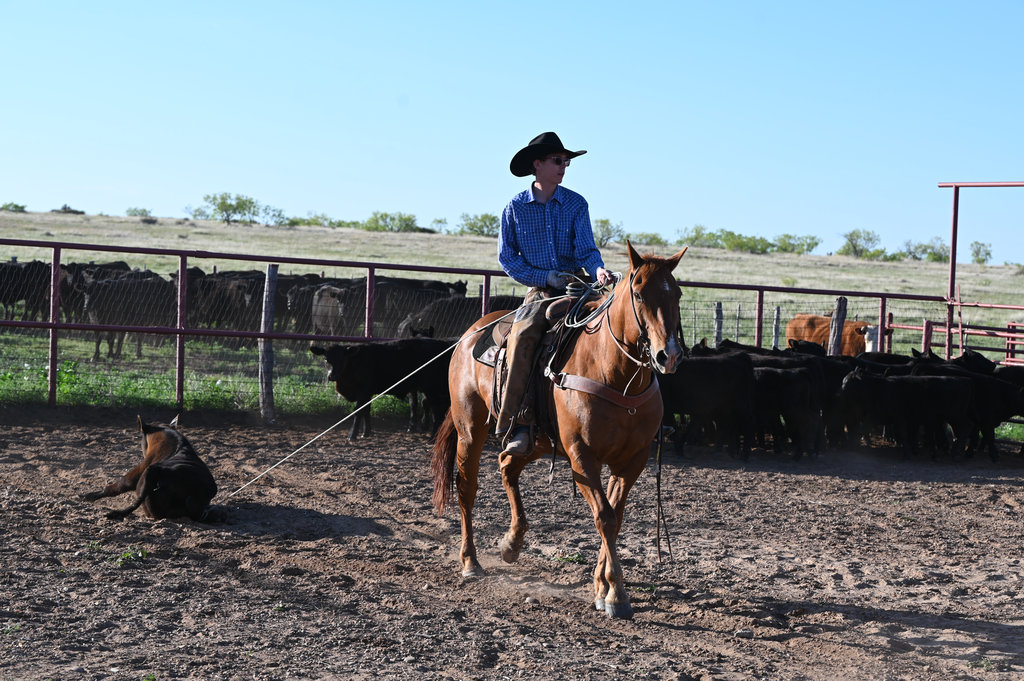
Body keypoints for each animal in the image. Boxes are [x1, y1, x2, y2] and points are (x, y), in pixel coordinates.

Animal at [310, 337, 454, 439]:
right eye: (326, 359)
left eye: (342, 359)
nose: (331, 376)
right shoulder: (367, 393)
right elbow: (366, 410)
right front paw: (366, 432)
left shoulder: (363, 390)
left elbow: (358, 410)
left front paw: (352, 435)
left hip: (432, 389)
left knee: (438, 411)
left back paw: (433, 437)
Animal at [431, 242, 686, 619]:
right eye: (639, 294)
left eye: (677, 294)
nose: (668, 355)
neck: (615, 374)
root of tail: (469, 333)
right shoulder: (582, 456)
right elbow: (605, 517)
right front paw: (616, 595)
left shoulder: (632, 460)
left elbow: (616, 516)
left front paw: (601, 586)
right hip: (470, 428)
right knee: (466, 487)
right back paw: (470, 562)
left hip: (536, 441)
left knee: (507, 464)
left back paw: (511, 543)